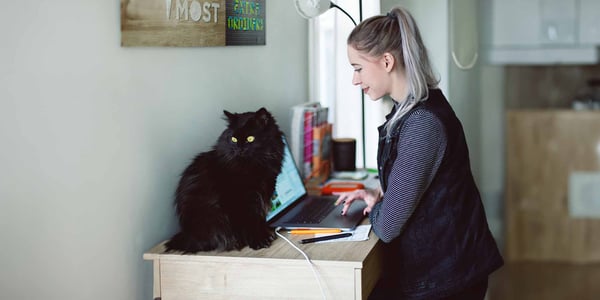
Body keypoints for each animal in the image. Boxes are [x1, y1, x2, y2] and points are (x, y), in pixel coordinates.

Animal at [165, 108, 284, 253]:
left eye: (250, 139)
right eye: (233, 139)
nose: (239, 148)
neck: (253, 165)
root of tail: (187, 235)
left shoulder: (264, 193)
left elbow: (259, 218)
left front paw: (265, 233)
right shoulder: (240, 201)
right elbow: (249, 222)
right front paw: (258, 241)